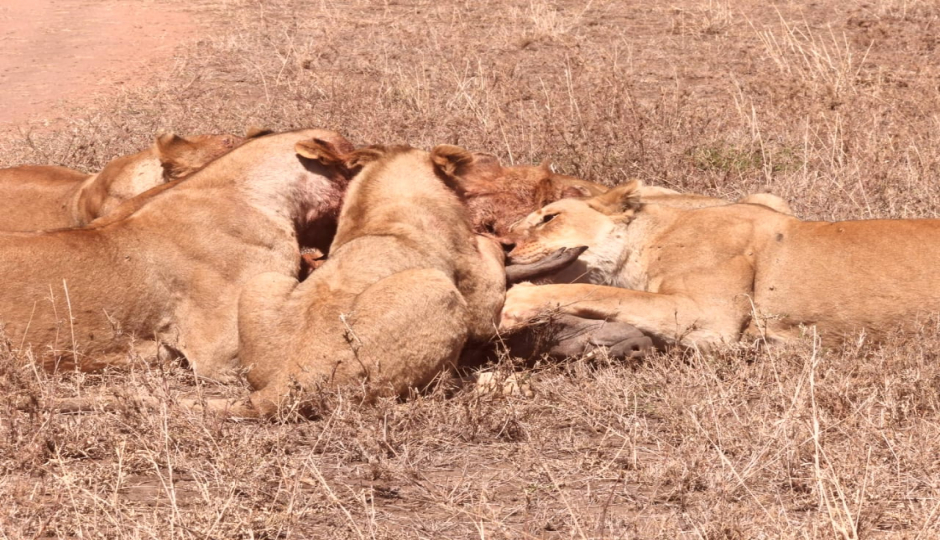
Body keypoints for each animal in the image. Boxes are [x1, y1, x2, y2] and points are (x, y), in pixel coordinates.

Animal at [239, 142, 510, 414]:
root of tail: (282, 384)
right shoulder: (476, 290)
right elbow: (488, 269)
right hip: (434, 287)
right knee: (433, 389)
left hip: (261, 282)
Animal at [500, 180, 940, 350]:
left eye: (549, 217)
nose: (504, 247)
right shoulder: (770, 199)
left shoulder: (710, 317)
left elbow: (599, 291)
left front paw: (517, 302)